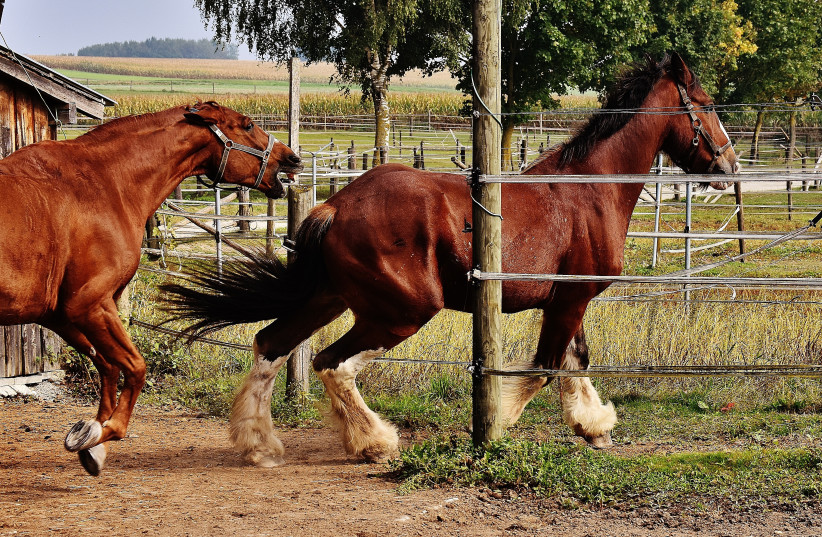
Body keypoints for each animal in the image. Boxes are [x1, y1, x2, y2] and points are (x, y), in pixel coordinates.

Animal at [0, 101, 303, 475]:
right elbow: (134, 367)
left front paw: (92, 442)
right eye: (247, 125)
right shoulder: (88, 306)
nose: (291, 158)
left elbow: (109, 367)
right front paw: (103, 432)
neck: (104, 183)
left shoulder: (61, 315)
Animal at [162, 53, 738, 466]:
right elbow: (543, 368)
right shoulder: (570, 300)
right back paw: (374, 443)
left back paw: (259, 446)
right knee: (332, 363)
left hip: (331, 298)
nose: (729, 165)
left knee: (271, 344)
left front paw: (594, 426)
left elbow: (575, 362)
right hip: (402, 310)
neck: (587, 191)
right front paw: (498, 429)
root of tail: (335, 204)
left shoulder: (567, 300)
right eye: (707, 105)